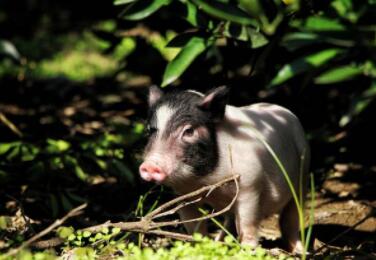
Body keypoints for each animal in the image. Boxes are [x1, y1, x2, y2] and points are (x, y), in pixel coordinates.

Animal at [140, 86, 310, 253]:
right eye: (149, 130)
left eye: (189, 131)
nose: (150, 165)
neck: (205, 181)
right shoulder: (182, 195)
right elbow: (194, 227)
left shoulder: (250, 185)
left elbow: (247, 225)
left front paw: (247, 251)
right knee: (229, 221)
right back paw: (219, 241)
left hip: (303, 176)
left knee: (291, 219)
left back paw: (300, 251)